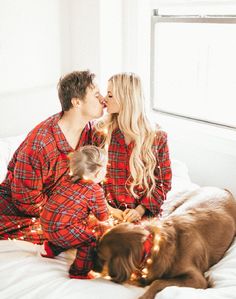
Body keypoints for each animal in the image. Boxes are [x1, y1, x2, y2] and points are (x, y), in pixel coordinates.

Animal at [93, 188, 236, 299]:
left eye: (101, 256)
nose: (92, 269)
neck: (152, 245)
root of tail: (224, 189)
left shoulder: (198, 279)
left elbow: (158, 281)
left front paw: (145, 295)